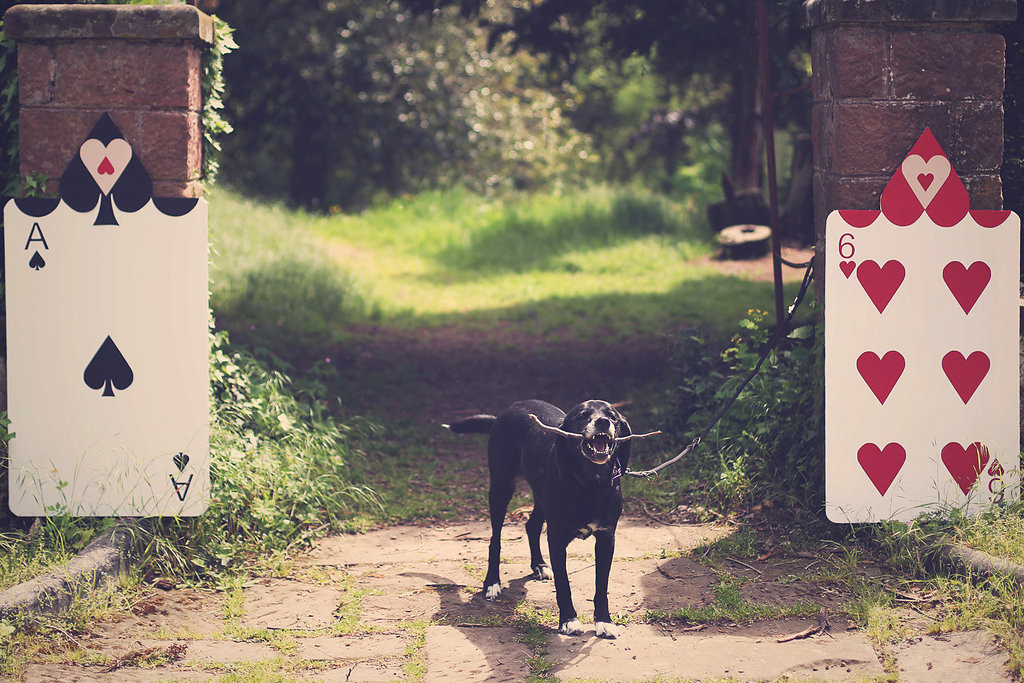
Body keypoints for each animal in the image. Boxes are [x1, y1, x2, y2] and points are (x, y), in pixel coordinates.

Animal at [442, 397, 651, 638]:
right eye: (582, 415)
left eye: (612, 416)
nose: (602, 422)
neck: (591, 484)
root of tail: (505, 413)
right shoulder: (557, 539)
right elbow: (564, 584)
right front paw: (568, 620)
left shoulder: (606, 539)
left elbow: (601, 586)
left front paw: (604, 621)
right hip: (500, 489)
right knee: (495, 540)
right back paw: (492, 582)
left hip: (540, 497)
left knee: (531, 525)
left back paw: (539, 565)